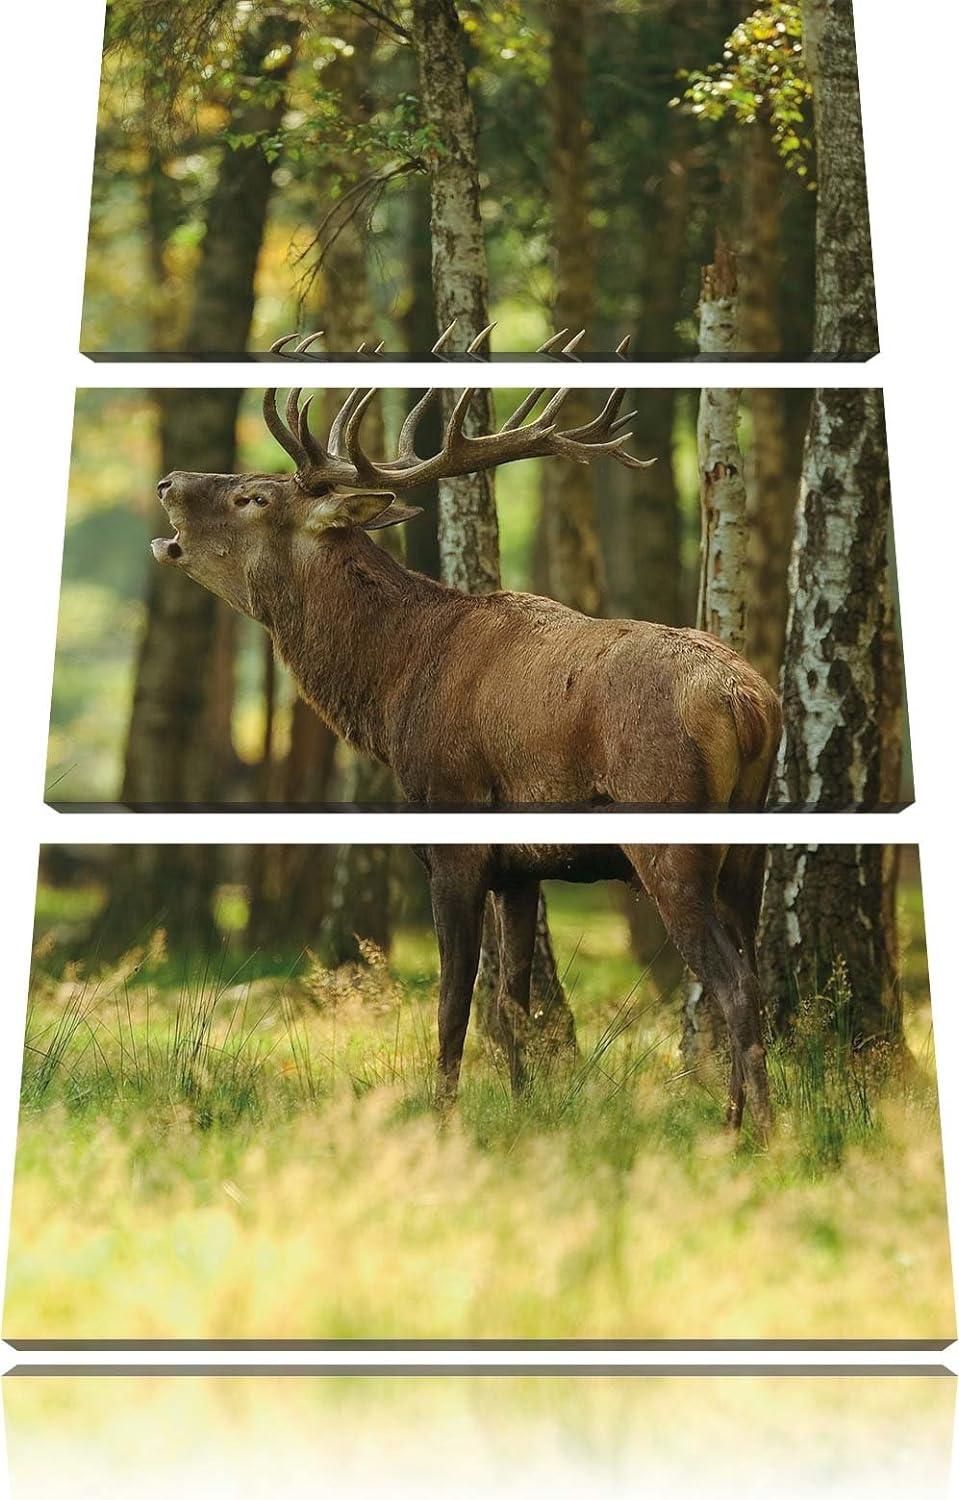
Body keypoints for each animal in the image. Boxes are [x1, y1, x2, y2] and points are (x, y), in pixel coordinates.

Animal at [152, 372, 783, 1135]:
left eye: (255, 496)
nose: (169, 481)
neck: (392, 690)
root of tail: (748, 705)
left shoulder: (454, 840)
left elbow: (453, 1003)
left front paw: (442, 1117)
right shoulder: (521, 869)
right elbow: (513, 999)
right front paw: (523, 1108)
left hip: (669, 837)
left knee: (731, 980)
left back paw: (747, 1131)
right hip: (747, 850)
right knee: (754, 970)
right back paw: (754, 1121)